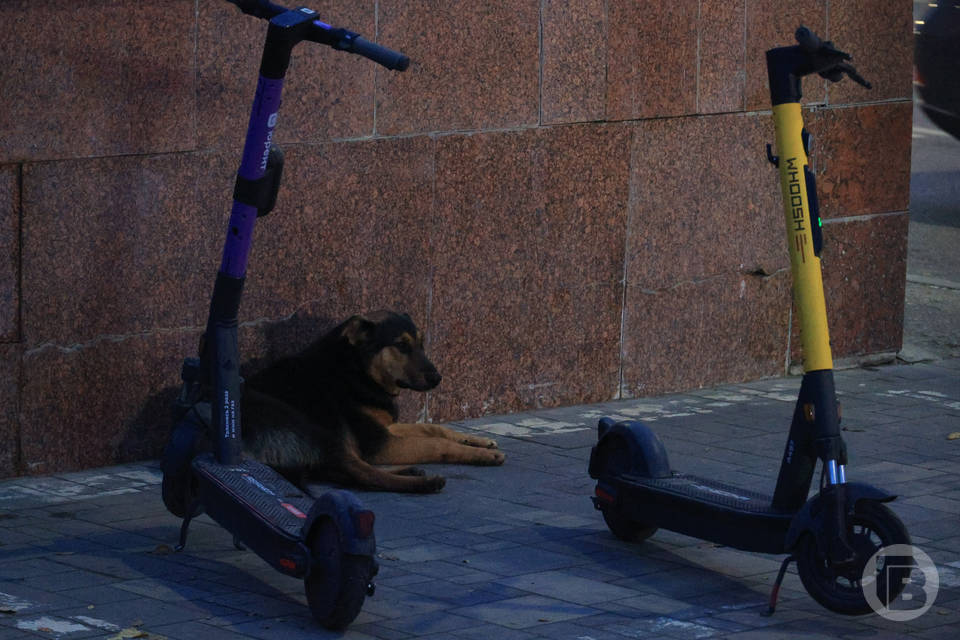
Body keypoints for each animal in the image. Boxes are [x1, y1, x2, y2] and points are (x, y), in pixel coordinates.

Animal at [242, 312, 502, 492]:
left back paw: (412, 472)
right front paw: (481, 454)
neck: (356, 371)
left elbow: (432, 428)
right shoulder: (378, 442)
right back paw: (426, 483)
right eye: (401, 345)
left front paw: (478, 440)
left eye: (421, 344)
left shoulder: (385, 427)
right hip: (313, 431)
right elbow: (436, 443)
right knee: (365, 474)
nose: (437, 378)